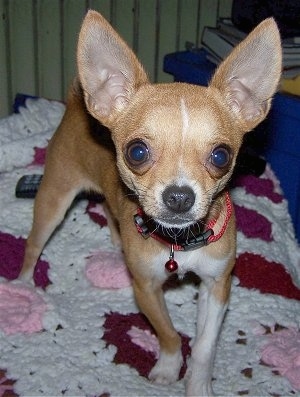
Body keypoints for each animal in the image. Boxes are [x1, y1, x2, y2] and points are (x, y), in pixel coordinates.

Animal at [21, 10, 282, 394]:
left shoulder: (217, 286)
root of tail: (76, 104)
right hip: (53, 200)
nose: (179, 196)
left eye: (221, 156)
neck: (179, 244)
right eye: (137, 151)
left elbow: (204, 346)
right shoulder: (145, 289)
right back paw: (23, 286)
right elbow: (169, 333)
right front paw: (168, 367)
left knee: (109, 209)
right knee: (34, 244)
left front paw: (198, 385)